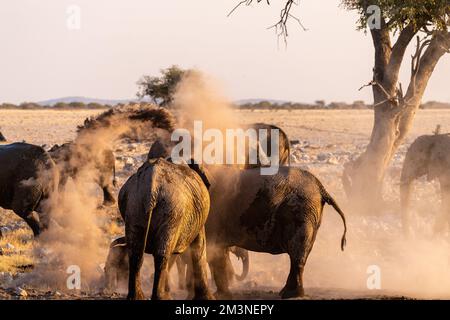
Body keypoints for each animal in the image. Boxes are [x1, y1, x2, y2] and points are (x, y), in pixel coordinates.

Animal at [118, 158, 213, 300]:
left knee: (136, 253)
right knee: (162, 253)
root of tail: (152, 185)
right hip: (172, 209)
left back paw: (136, 297)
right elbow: (199, 247)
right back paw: (161, 297)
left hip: (134, 205)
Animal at [205, 165, 348, 300]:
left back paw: (291, 294)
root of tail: (321, 188)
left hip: (302, 211)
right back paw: (286, 292)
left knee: (297, 253)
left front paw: (220, 296)